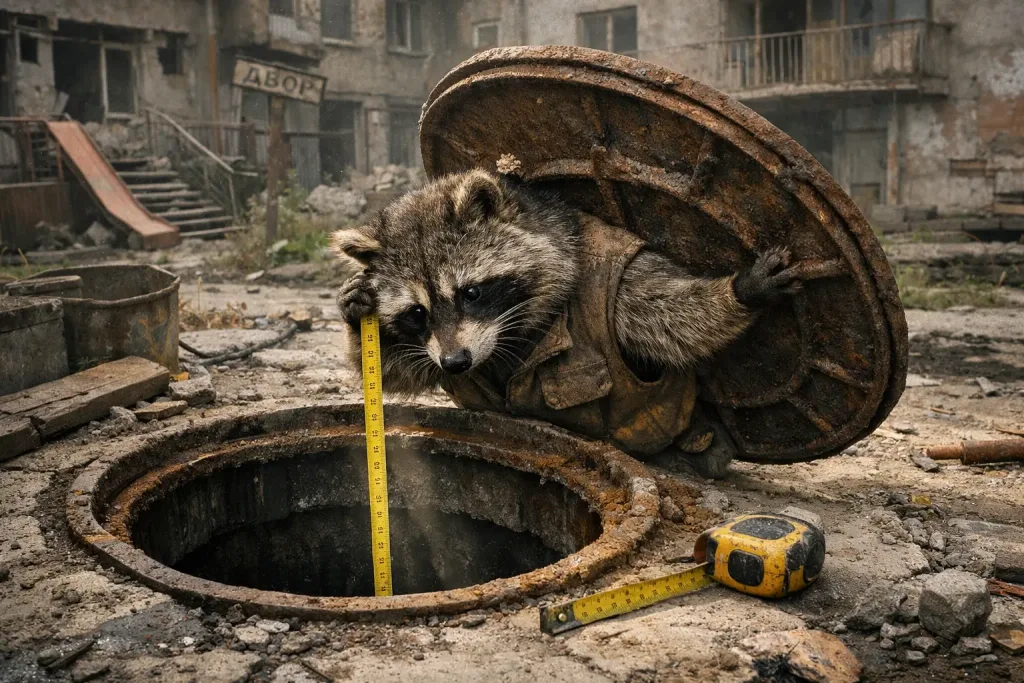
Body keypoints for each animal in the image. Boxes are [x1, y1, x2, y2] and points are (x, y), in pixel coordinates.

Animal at [332, 169, 802, 478]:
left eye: (471, 292)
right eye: (417, 313)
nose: (457, 363)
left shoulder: (620, 280)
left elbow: (675, 319)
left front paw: (743, 288)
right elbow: (405, 371)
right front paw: (355, 315)